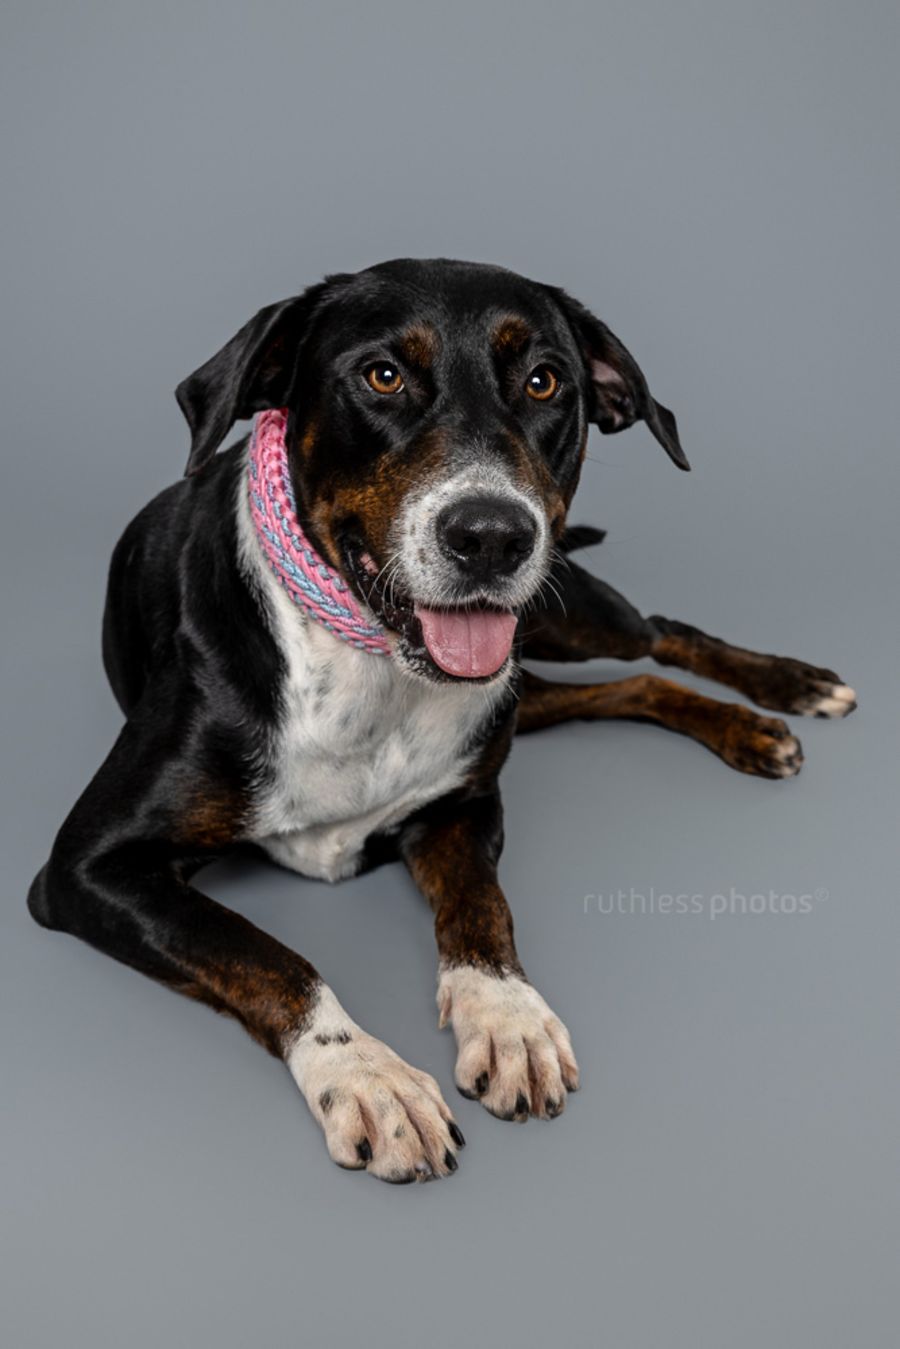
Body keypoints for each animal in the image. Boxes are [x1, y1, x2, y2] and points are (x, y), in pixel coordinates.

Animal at [28, 258, 856, 1183]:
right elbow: (266, 953)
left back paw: (783, 692)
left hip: (563, 614)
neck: (364, 664)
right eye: (382, 375)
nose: (492, 536)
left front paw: (509, 1018)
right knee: (629, 681)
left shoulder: (463, 803)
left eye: (545, 380)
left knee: (659, 634)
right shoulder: (89, 866)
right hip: (527, 672)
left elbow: (482, 909)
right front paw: (367, 1075)